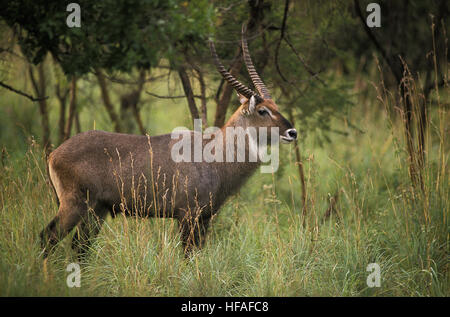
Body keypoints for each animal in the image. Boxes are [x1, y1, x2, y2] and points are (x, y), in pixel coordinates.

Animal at [40, 28, 298, 258]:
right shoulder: (187, 216)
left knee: (79, 248)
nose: (292, 132)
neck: (215, 155)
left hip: (97, 211)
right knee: (48, 236)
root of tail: (54, 154)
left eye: (275, 105)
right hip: (75, 205)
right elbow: (187, 256)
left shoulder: (204, 219)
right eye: (263, 110)